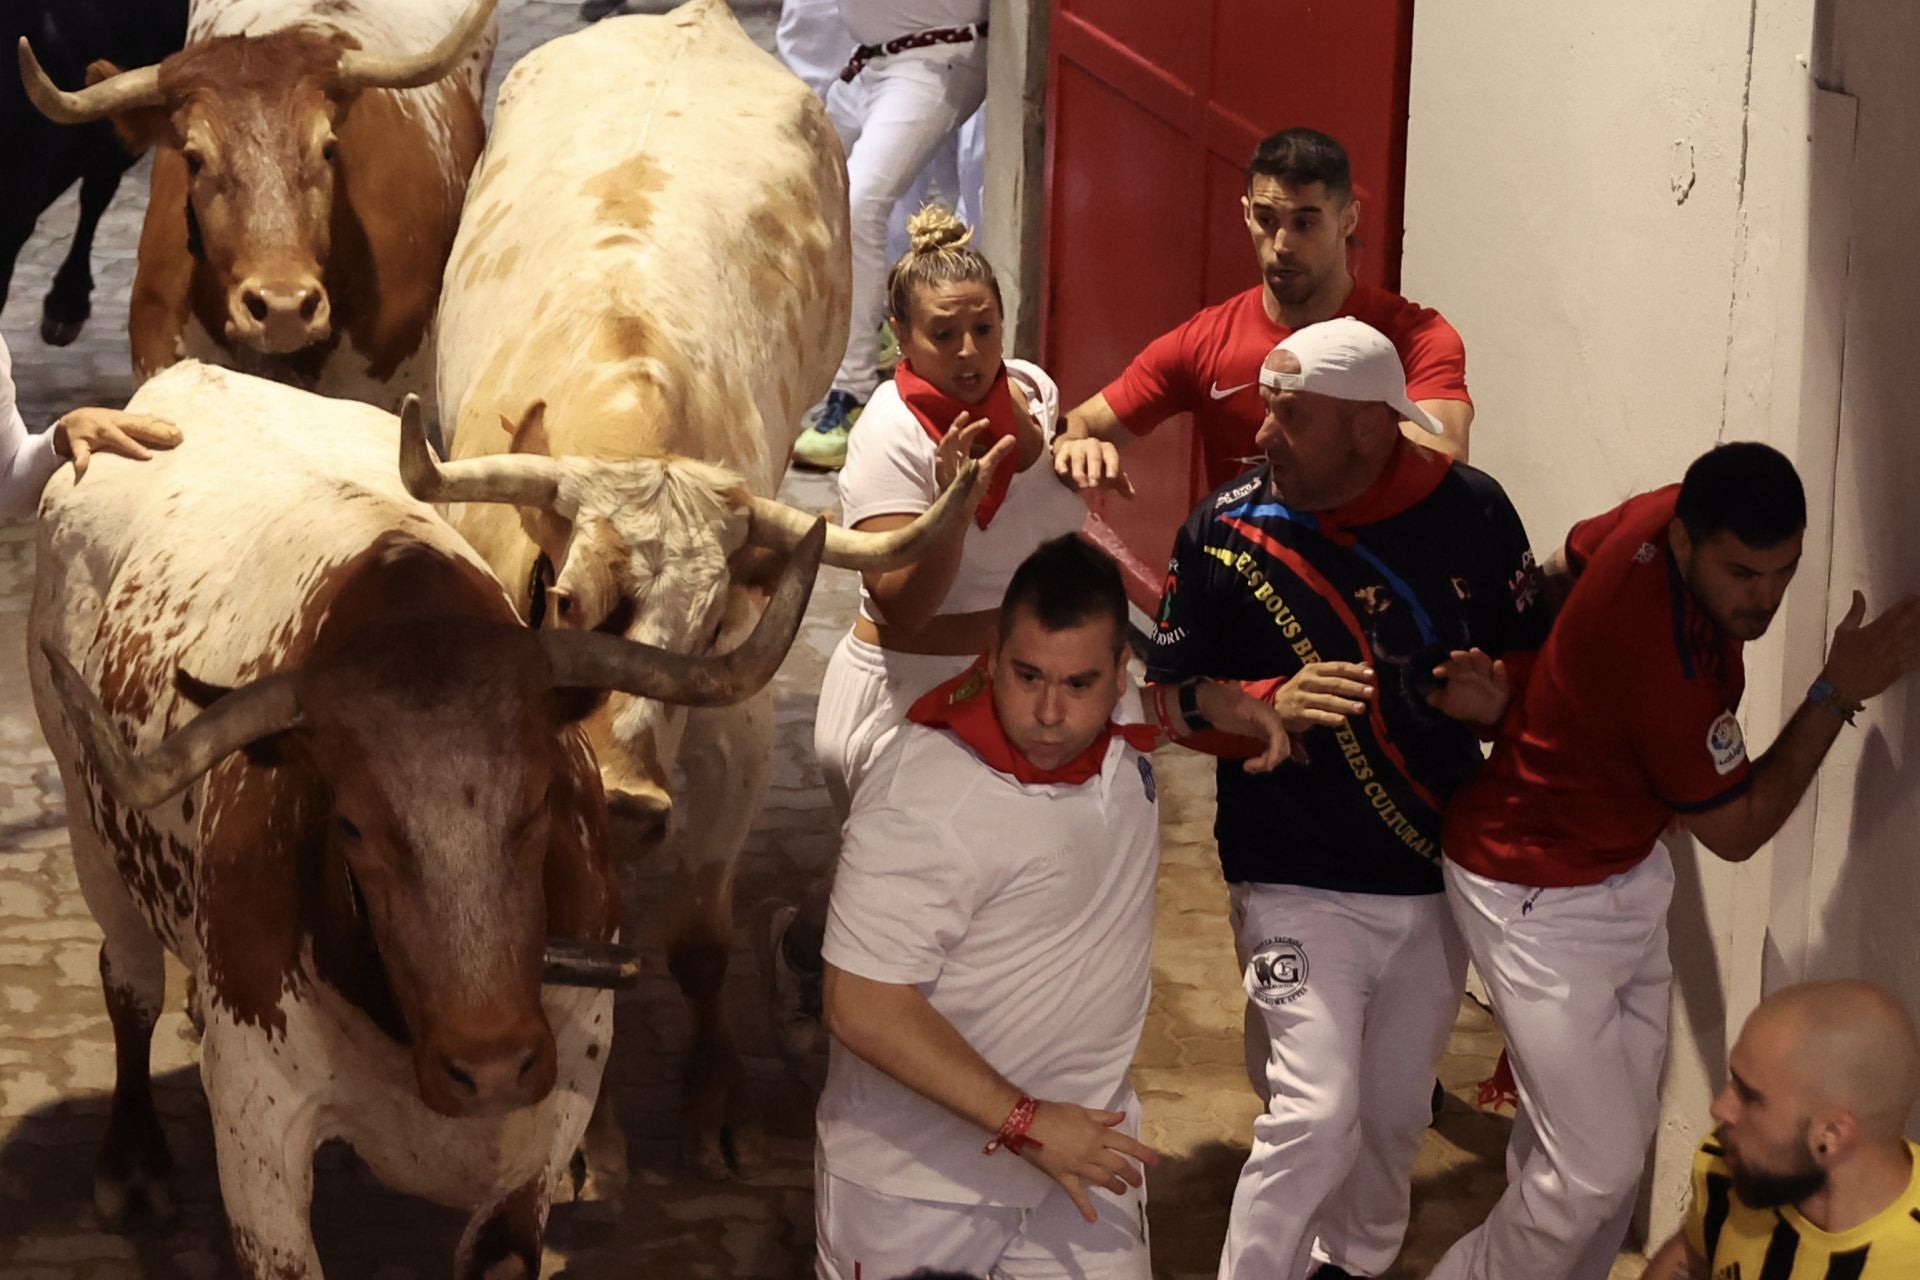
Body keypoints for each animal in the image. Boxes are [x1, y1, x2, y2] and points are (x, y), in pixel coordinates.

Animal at [30, 360, 825, 1280]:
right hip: (89, 827)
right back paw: (133, 1162)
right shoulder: (257, 1133)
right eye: (348, 826)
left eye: (545, 797)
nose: (493, 1065)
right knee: (128, 982)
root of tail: (183, 376)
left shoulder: (552, 1119)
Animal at [424, 0, 975, 1182]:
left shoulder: (736, 744)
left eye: (716, 618)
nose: (633, 801)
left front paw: (719, 1102)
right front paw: (583, 1141)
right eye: (565, 595)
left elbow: (702, 939)